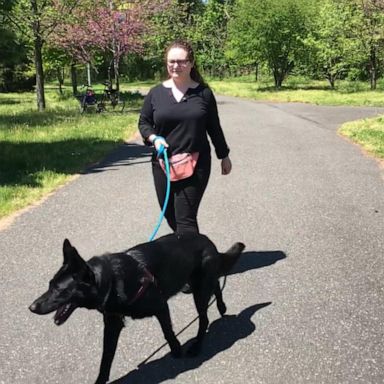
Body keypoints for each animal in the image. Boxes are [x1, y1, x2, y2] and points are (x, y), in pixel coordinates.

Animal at [30, 234, 246, 384]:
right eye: (49, 285)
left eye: (59, 290)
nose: (31, 307)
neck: (111, 280)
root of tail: (208, 241)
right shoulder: (112, 326)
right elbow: (105, 358)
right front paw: (101, 380)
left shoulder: (161, 306)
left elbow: (168, 333)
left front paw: (176, 350)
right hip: (197, 284)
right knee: (216, 283)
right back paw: (221, 306)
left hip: (198, 293)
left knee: (204, 318)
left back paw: (197, 345)